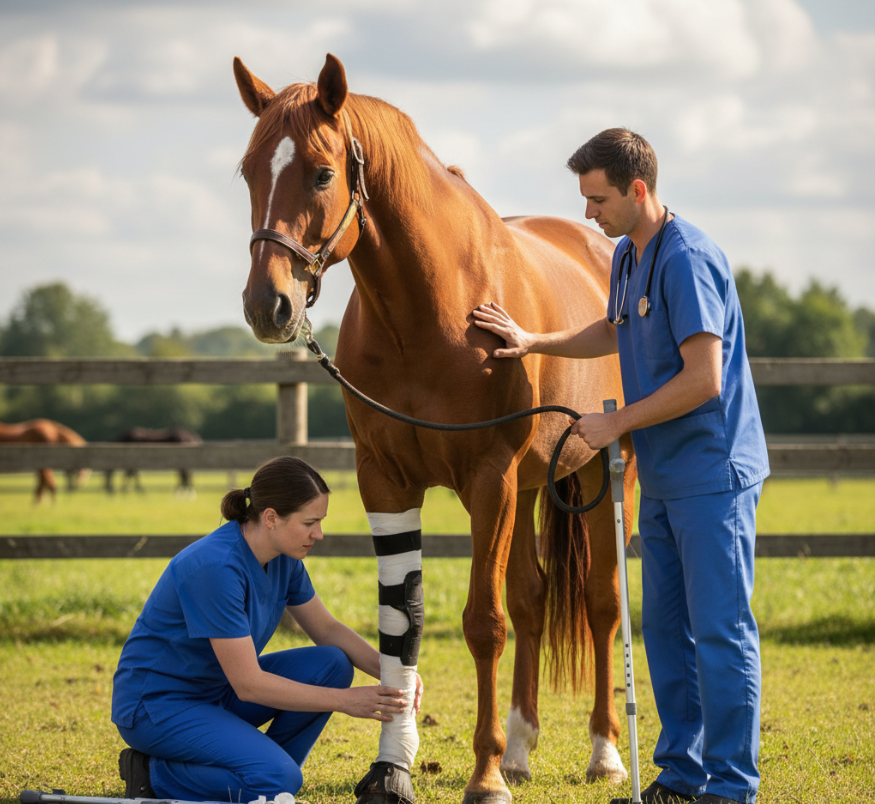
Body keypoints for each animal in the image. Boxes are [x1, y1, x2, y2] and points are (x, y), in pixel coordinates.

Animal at [233, 54, 637, 804]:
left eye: (323, 174)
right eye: (248, 171)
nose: (265, 305)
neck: (428, 311)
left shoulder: (489, 481)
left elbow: (483, 623)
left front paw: (483, 775)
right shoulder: (385, 481)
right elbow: (403, 622)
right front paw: (393, 766)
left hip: (604, 469)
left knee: (601, 603)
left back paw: (602, 752)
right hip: (533, 485)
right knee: (532, 598)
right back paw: (522, 747)